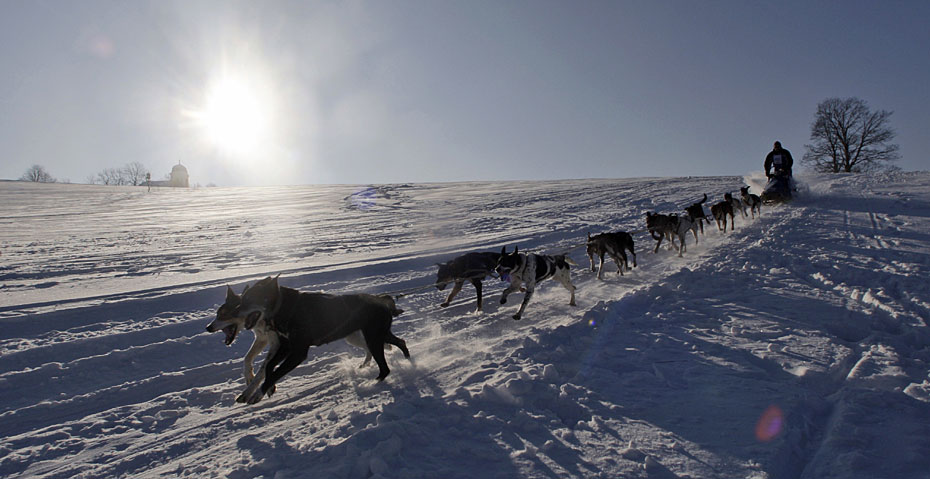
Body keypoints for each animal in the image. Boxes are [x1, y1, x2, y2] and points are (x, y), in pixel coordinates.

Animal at [236, 276, 411, 404]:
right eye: (242, 298)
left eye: (250, 298)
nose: (235, 311)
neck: (286, 308)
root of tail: (382, 302)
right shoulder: (286, 346)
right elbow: (269, 367)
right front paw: (268, 388)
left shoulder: (298, 352)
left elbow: (275, 372)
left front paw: (259, 393)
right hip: (378, 335)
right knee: (400, 342)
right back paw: (408, 360)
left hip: (373, 338)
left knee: (385, 368)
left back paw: (372, 383)